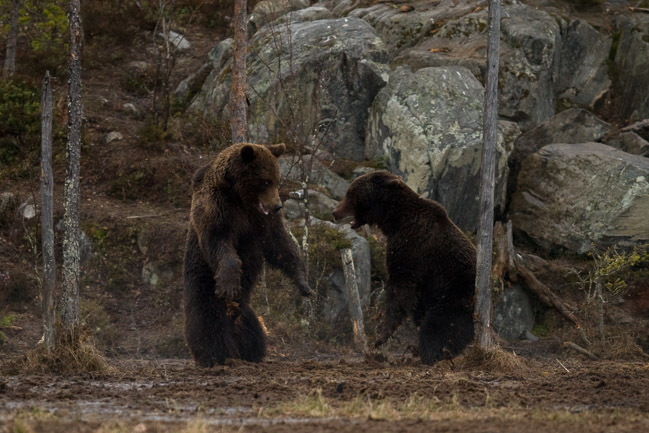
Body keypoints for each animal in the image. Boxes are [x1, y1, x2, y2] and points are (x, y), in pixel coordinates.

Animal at [183, 142, 312, 367]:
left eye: (277, 180)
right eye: (266, 181)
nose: (278, 205)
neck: (241, 199)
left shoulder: (262, 221)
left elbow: (281, 246)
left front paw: (304, 284)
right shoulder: (217, 209)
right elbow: (220, 244)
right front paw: (229, 285)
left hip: (245, 311)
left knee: (250, 325)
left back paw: (250, 351)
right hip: (202, 285)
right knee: (207, 320)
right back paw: (214, 355)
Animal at [332, 170, 476, 364]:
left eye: (350, 193)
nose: (335, 212)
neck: (395, 220)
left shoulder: (410, 249)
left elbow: (399, 290)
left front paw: (381, 337)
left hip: (454, 292)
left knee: (440, 326)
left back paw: (430, 353)